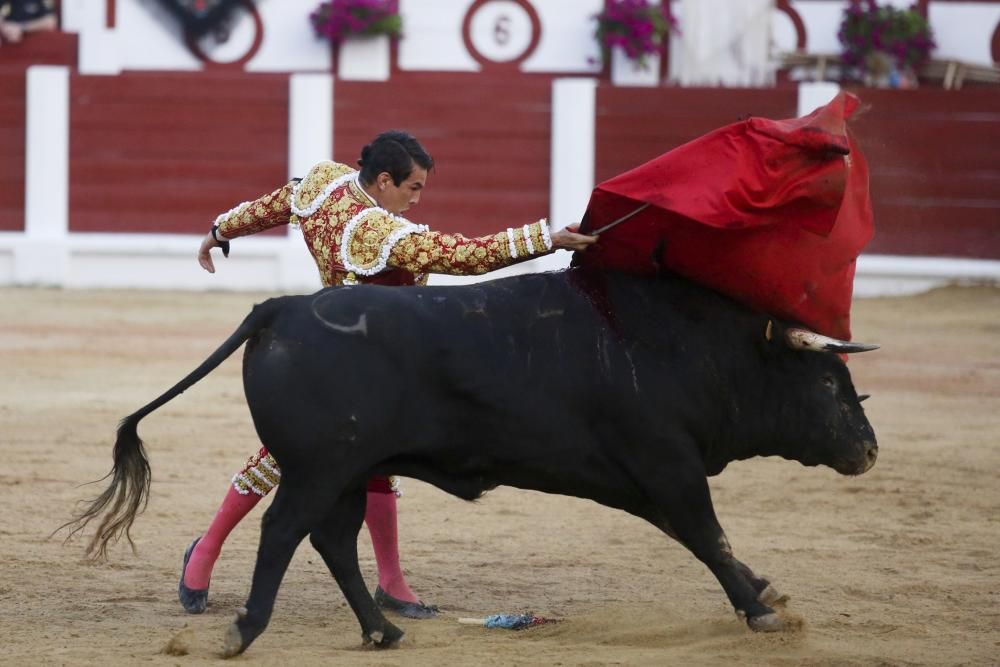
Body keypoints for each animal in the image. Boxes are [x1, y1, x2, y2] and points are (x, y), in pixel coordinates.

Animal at [68, 268, 876, 656]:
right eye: (827, 381)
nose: (869, 448)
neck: (693, 350)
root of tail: (284, 307)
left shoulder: (655, 479)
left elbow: (708, 540)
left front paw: (766, 592)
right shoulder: (667, 467)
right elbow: (710, 536)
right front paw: (762, 611)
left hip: (349, 470)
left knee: (332, 538)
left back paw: (382, 630)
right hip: (321, 467)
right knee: (283, 531)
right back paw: (244, 630)